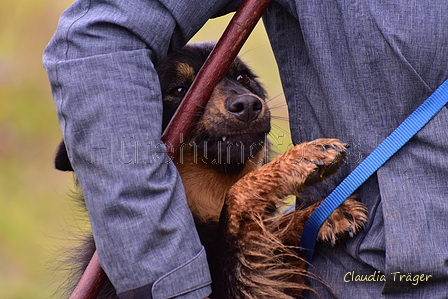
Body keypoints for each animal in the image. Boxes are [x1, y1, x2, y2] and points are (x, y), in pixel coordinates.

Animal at [55, 42, 368, 299]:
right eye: (179, 91)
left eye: (242, 78)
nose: (248, 105)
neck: (200, 206)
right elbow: (237, 203)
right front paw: (299, 160)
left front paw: (324, 213)